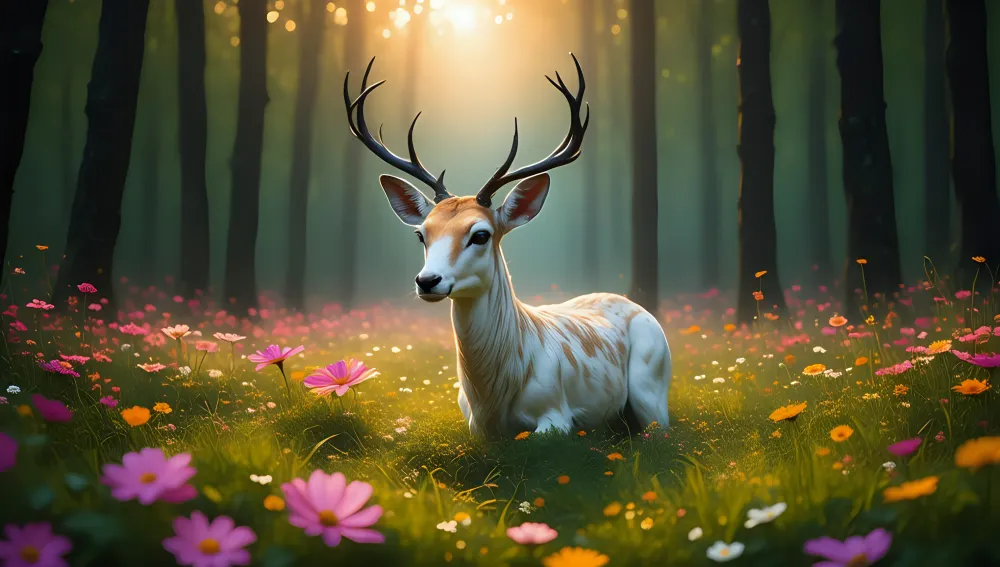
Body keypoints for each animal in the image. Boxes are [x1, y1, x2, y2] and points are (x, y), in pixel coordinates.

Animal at [343, 54, 672, 438]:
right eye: (421, 234)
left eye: (481, 234)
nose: (427, 281)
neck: (493, 399)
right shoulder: (474, 426)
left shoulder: (556, 414)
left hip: (652, 384)